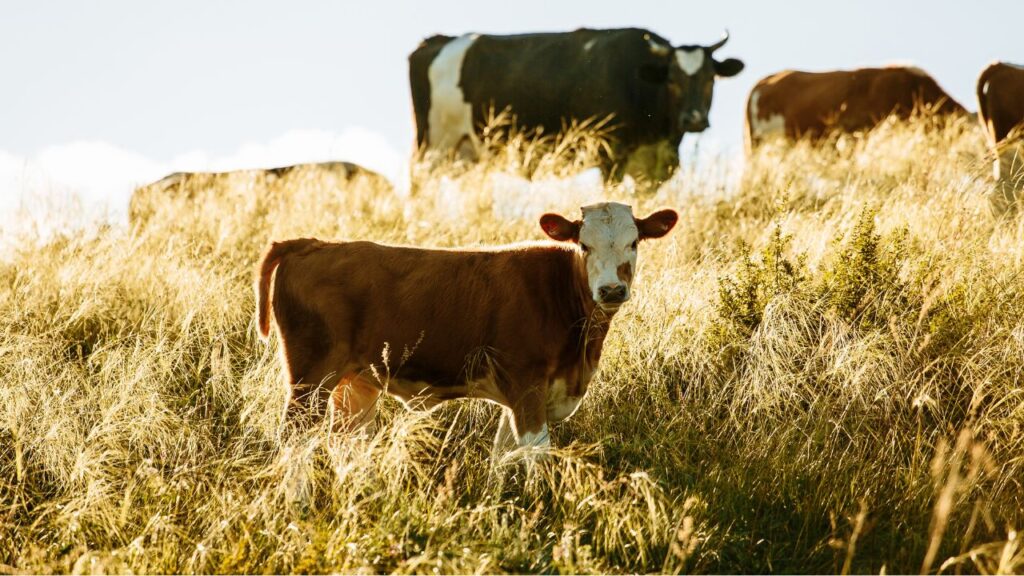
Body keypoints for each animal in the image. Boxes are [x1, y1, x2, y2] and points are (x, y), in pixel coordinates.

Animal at [255, 202, 678, 455]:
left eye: (634, 242)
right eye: (584, 246)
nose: (611, 289)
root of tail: (312, 243)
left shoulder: (521, 398)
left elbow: (503, 461)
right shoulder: (527, 386)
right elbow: (535, 457)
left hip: (355, 384)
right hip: (309, 380)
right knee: (293, 443)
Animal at [409, 28, 744, 184]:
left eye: (710, 79)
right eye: (672, 80)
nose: (694, 119)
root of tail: (436, 41)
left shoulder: (654, 170)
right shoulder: (611, 157)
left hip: (465, 152)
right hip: (433, 145)